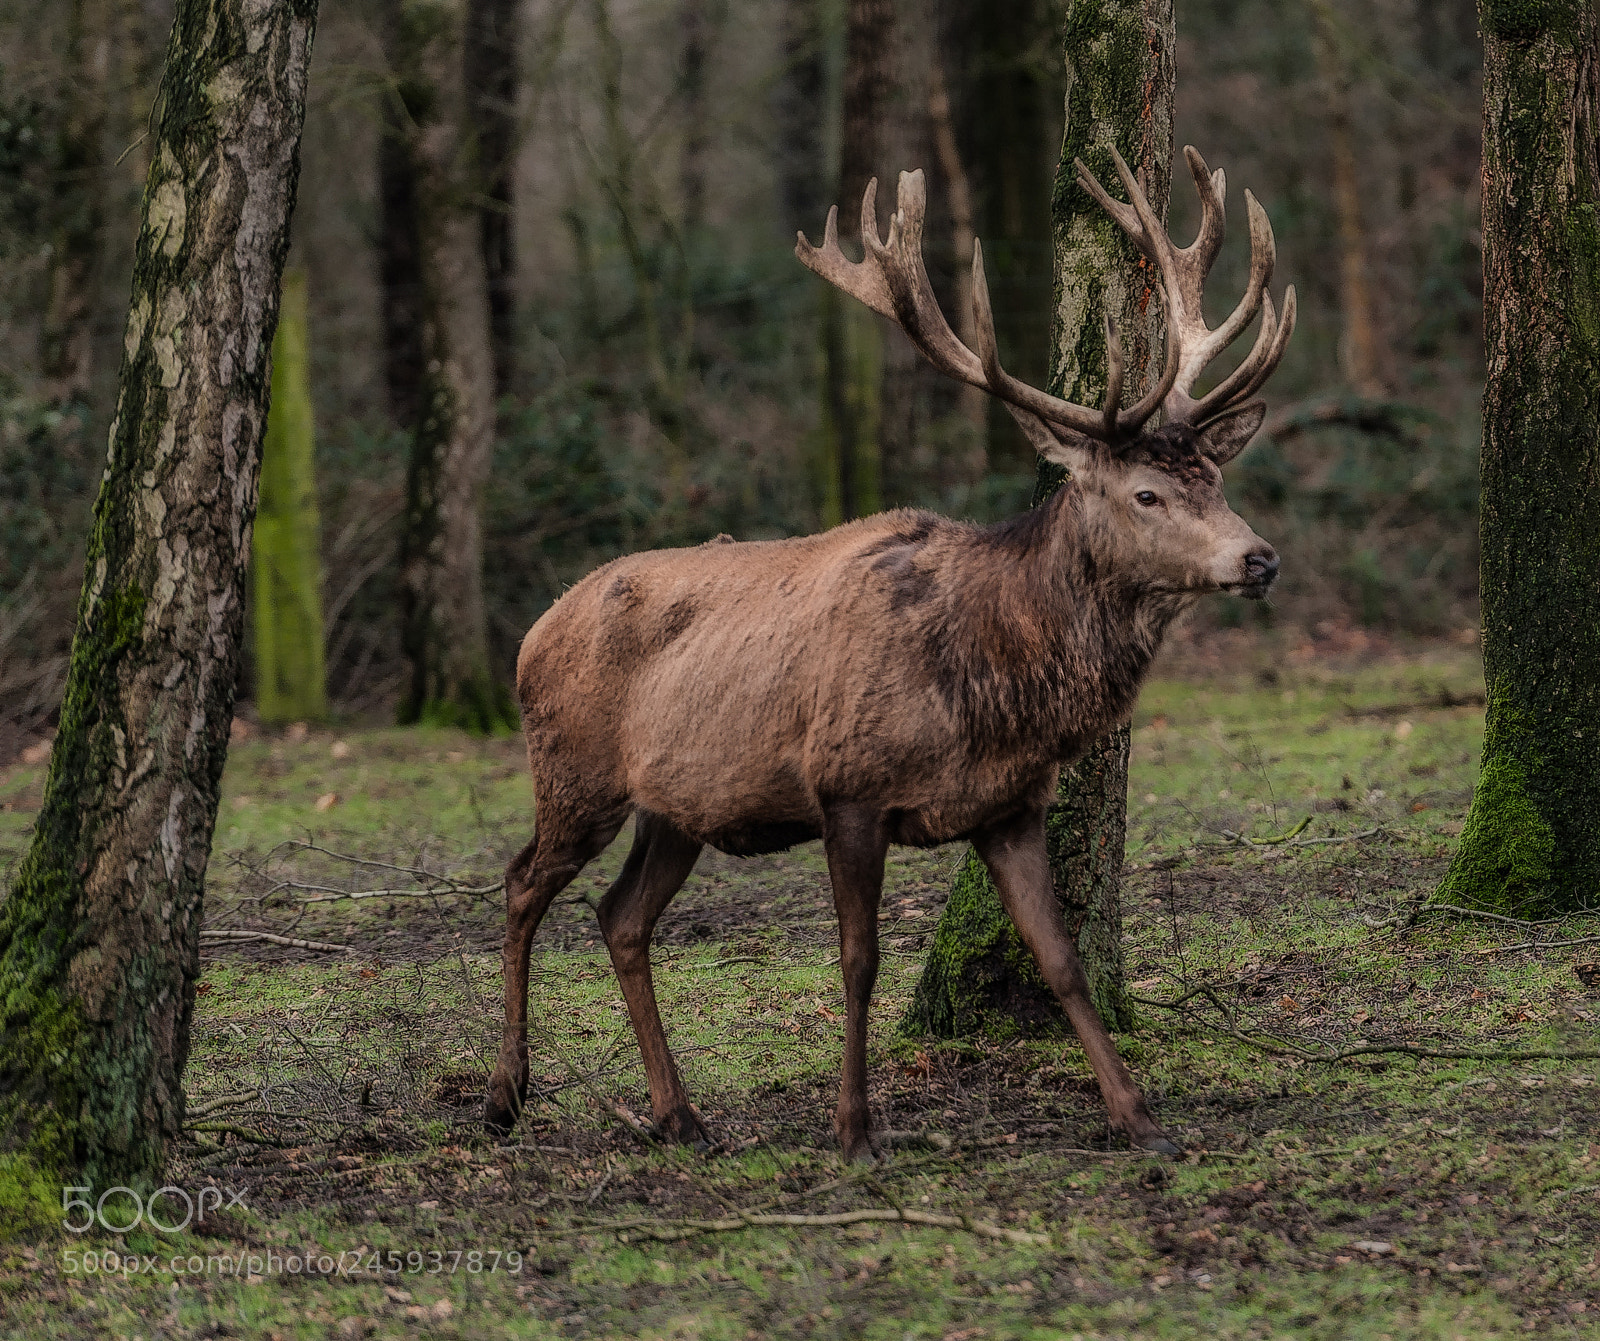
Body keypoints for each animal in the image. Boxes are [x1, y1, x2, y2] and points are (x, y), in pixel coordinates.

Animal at [484, 144, 1297, 1161]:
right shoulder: (848, 785)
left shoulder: (1009, 805)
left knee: (621, 916)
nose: (1260, 558)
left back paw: (681, 1114)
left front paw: (1140, 1116)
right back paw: (505, 1094)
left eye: (1216, 476)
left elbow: (1062, 958)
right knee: (521, 884)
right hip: (574, 770)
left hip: (674, 806)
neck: (993, 691)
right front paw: (855, 1128)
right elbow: (859, 959)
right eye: (1146, 493)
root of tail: (532, 631)